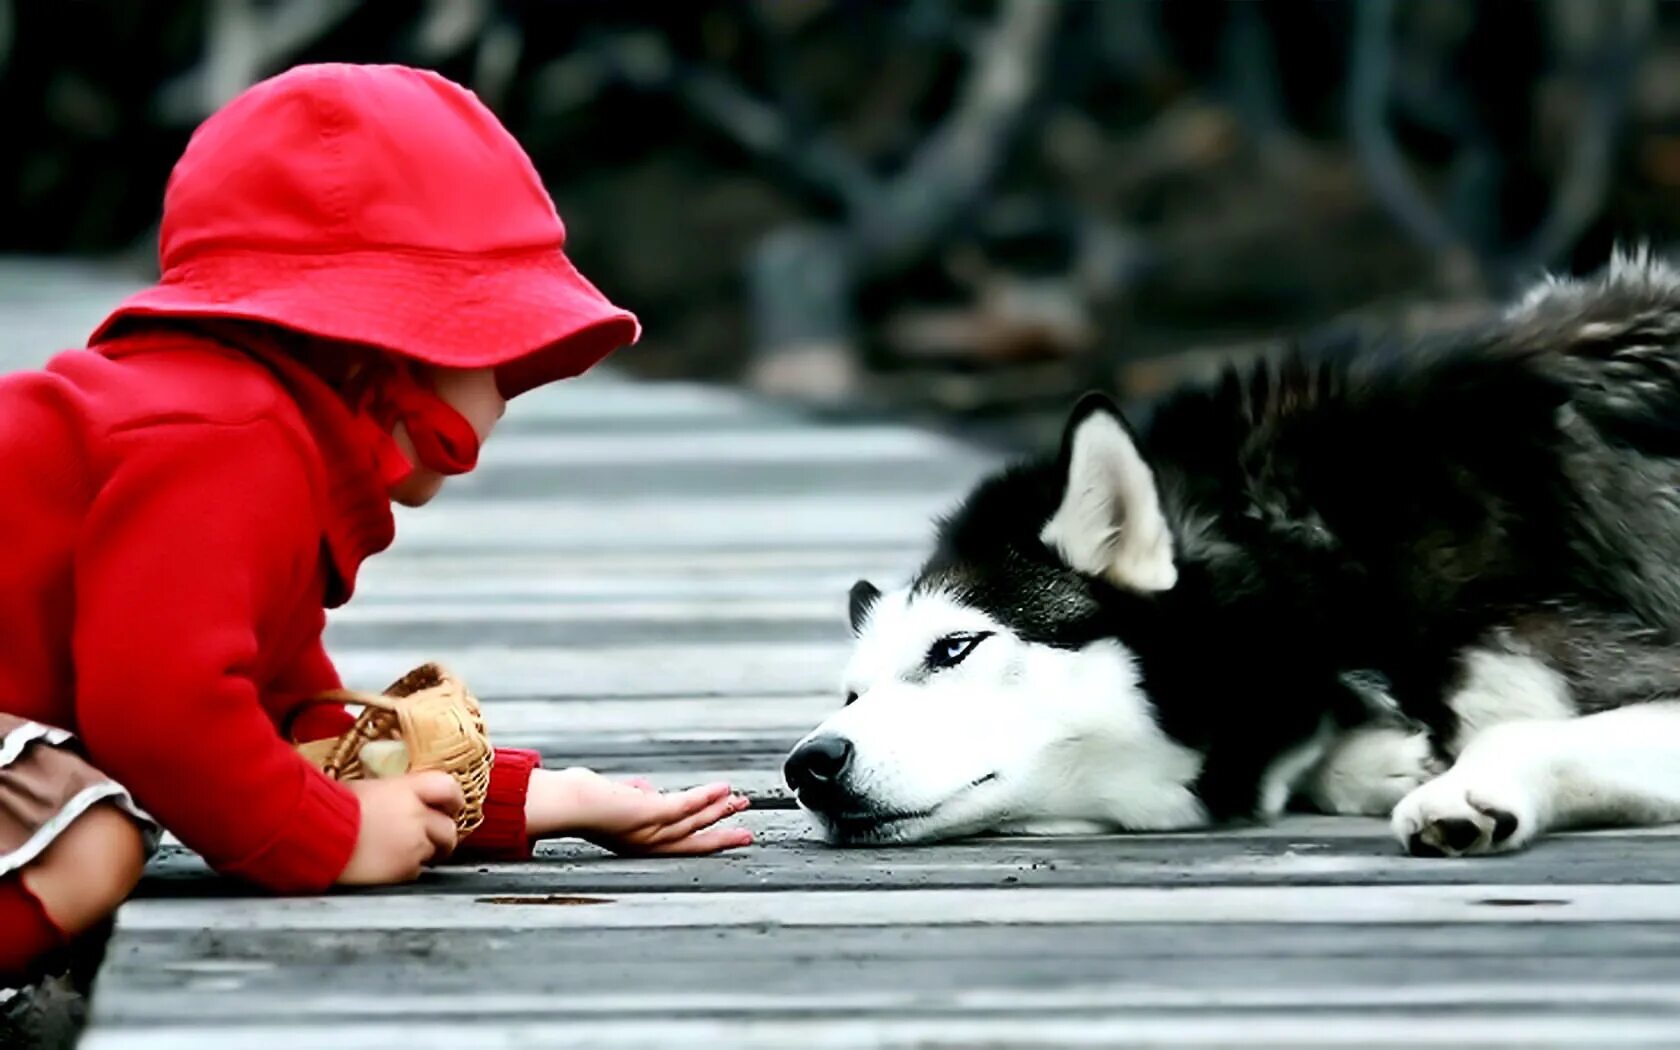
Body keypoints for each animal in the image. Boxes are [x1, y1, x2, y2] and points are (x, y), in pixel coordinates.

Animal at [786, 251, 1680, 853]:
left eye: (956, 647)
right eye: (854, 691)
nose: (809, 764)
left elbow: (1516, 730)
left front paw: (1464, 787)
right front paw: (1376, 762)